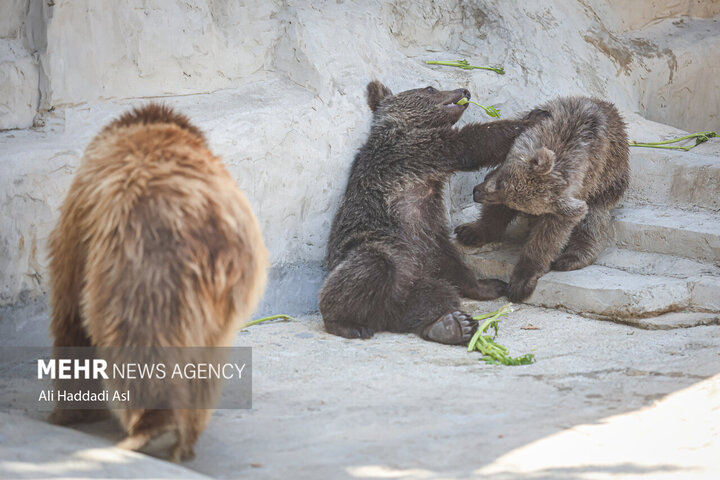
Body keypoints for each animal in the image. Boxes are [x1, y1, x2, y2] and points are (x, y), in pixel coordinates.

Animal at [47, 104, 268, 462]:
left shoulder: (81, 225)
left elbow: (70, 313)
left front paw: (71, 412)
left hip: (143, 267)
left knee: (139, 345)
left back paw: (150, 430)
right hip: (222, 305)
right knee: (202, 367)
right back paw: (184, 441)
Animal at [318, 81, 548, 344]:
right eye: (430, 88)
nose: (464, 91)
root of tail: (381, 315)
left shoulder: (430, 225)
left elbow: (453, 261)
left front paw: (488, 285)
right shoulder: (411, 150)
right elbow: (471, 142)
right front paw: (534, 117)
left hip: (415, 276)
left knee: (435, 294)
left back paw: (451, 325)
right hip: (381, 250)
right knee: (370, 265)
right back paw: (346, 323)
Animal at [458, 95, 628, 302]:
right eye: (499, 182)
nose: (476, 192)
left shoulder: (583, 182)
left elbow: (551, 233)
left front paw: (521, 281)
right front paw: (472, 231)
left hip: (610, 184)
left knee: (593, 218)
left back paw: (571, 258)